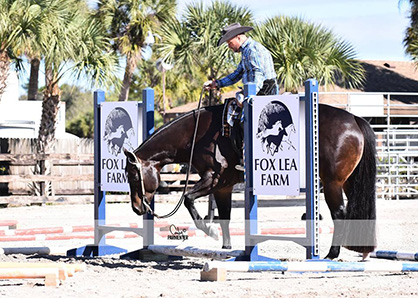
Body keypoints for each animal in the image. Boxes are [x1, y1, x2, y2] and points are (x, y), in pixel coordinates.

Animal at [123, 102, 376, 258]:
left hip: (332, 182)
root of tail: (353, 119)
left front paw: (209, 230)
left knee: (340, 214)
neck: (197, 134)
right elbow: (225, 217)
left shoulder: (212, 179)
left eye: (133, 175)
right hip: (349, 182)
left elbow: (188, 198)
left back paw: (332, 254)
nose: (136, 208)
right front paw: (226, 247)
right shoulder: (223, 187)